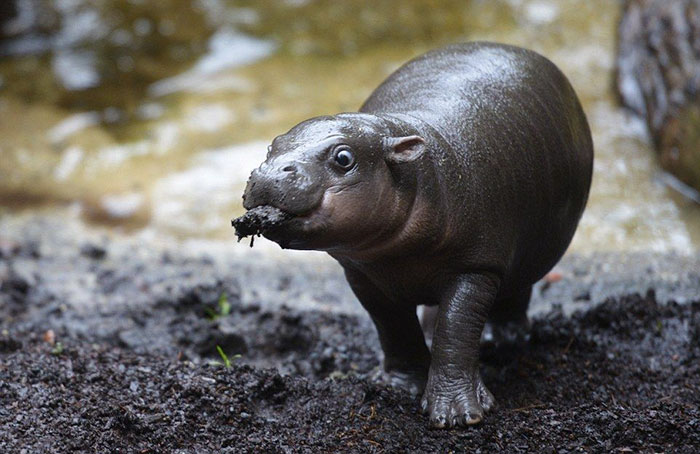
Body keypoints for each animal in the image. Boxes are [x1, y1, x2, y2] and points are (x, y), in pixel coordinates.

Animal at [233, 42, 593, 428]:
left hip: (525, 251)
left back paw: (503, 337)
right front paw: (398, 385)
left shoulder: (476, 267)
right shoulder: (361, 272)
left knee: (514, 290)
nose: (270, 173)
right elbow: (393, 327)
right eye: (272, 145)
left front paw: (457, 416)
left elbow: (456, 329)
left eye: (344, 158)